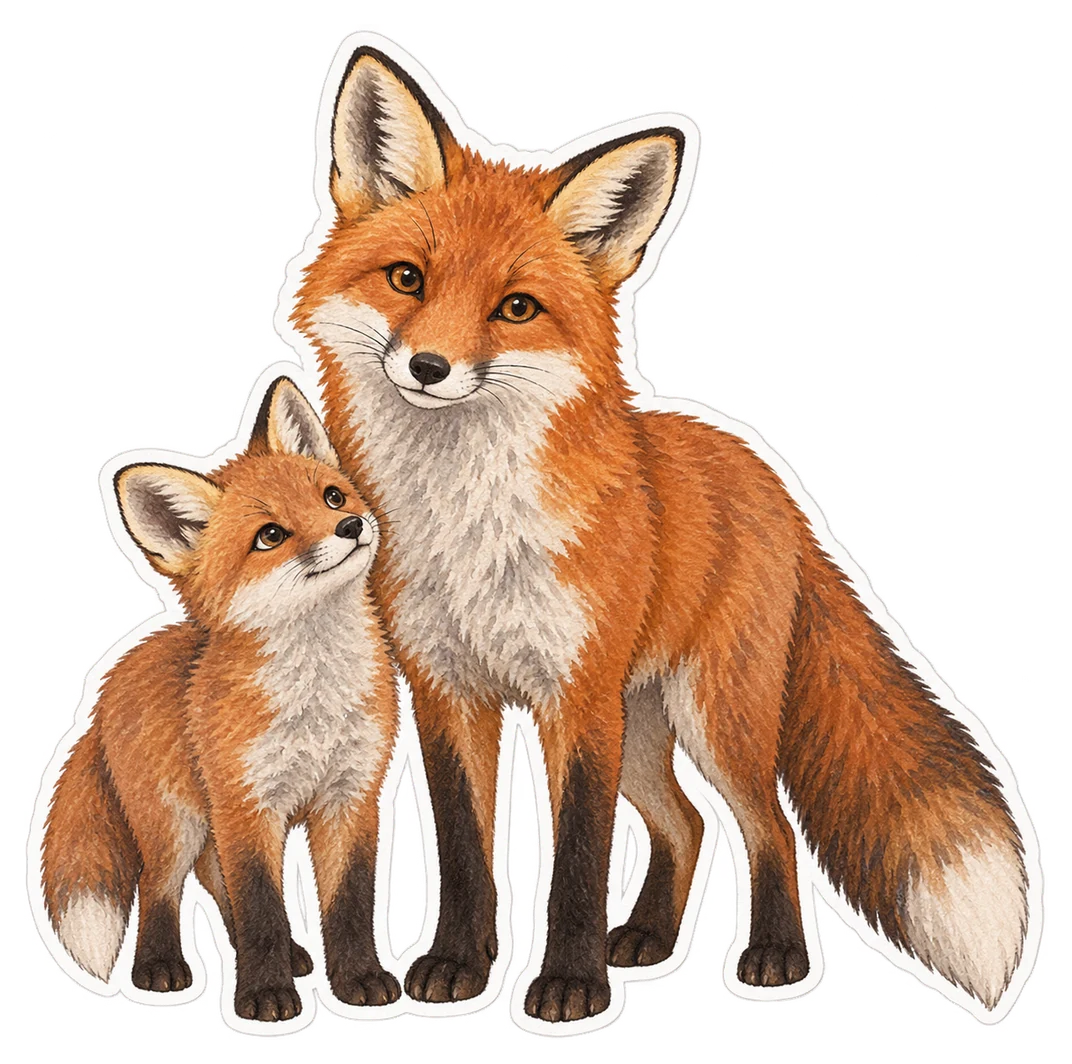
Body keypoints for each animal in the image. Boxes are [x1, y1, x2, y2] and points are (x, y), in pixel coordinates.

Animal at [41, 378, 401, 1022]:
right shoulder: (246, 803)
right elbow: (259, 906)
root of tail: (107, 685)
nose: (352, 527)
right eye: (271, 536)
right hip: (175, 822)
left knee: (212, 879)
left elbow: (348, 903)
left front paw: (358, 979)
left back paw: (292, 956)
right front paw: (263, 996)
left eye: (332, 497)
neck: (316, 698)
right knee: (161, 886)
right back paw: (161, 967)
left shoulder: (351, 796)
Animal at [290, 46, 1030, 1022]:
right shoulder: (448, 690)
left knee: (765, 825)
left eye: (515, 308)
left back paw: (773, 956)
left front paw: (568, 984)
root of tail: (765, 477)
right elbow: (464, 849)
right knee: (685, 820)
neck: (471, 525)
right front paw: (458, 964)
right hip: (644, 724)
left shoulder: (576, 696)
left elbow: (576, 855)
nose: (428, 366)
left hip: (713, 715)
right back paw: (645, 940)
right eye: (407, 279)